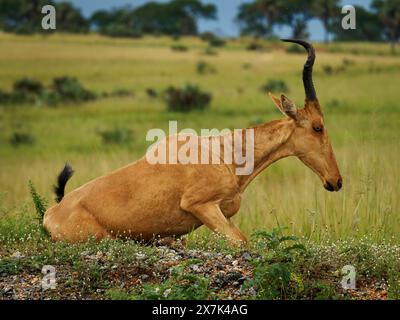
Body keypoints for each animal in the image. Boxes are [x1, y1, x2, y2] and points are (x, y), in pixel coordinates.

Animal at [44, 40, 344, 245]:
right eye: (318, 126)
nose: (336, 181)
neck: (220, 153)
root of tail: (51, 214)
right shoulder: (201, 206)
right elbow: (242, 242)